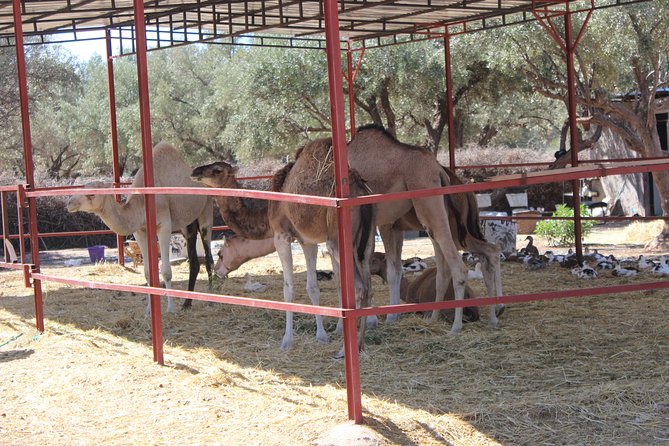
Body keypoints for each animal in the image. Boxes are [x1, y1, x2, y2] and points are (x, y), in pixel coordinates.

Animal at [66, 142, 215, 313]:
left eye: (92, 194)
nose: (70, 203)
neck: (142, 201)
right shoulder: (140, 230)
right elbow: (147, 272)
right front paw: (149, 310)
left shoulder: (164, 225)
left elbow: (166, 271)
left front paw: (170, 308)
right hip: (187, 224)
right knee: (194, 259)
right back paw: (187, 303)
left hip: (206, 210)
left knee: (208, 254)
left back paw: (210, 299)